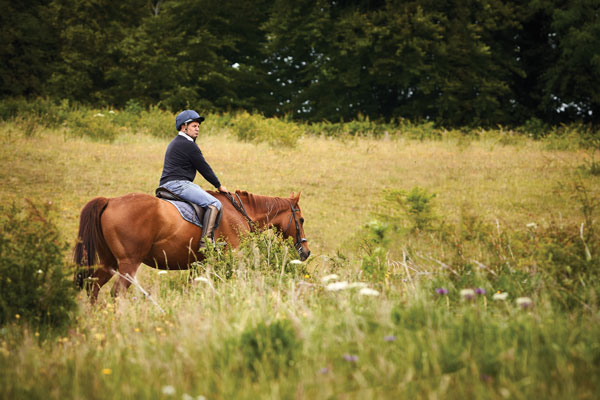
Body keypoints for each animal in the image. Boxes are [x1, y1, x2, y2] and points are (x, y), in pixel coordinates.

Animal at [72, 191, 312, 300]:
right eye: (301, 220)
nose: (306, 252)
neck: (240, 213)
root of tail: (110, 200)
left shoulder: (199, 266)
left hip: (109, 263)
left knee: (94, 288)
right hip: (128, 264)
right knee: (116, 293)